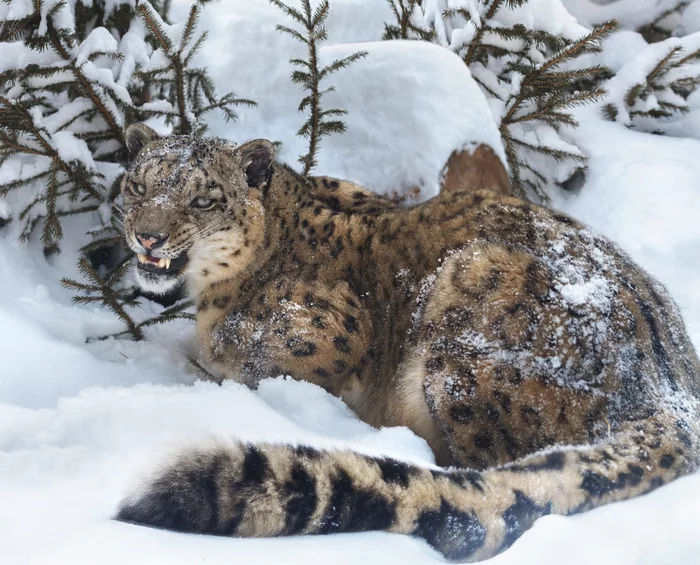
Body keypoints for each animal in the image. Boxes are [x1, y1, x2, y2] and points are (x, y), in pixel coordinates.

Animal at [115, 123, 700, 560]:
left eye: (202, 198)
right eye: (138, 186)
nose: (148, 236)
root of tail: (669, 388)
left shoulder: (325, 331)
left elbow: (245, 355)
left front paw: (209, 364)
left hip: (469, 330)